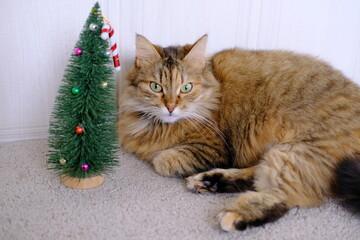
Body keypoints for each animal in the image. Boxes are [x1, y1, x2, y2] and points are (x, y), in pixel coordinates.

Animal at [118, 34, 360, 232]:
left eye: (186, 88)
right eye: (156, 87)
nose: (170, 107)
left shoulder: (213, 148)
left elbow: (161, 161)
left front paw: (162, 158)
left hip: (299, 151)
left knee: (285, 197)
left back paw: (233, 214)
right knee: (256, 176)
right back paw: (209, 181)